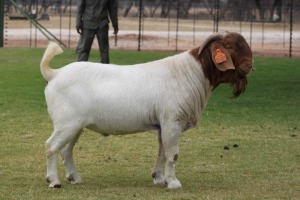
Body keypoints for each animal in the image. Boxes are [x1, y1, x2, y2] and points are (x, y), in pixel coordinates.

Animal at [41, 31, 253, 189]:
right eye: (230, 46)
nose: (250, 65)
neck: (192, 72)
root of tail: (54, 74)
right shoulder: (172, 121)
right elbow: (172, 154)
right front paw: (173, 182)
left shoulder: (163, 125)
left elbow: (162, 151)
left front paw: (159, 178)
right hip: (67, 123)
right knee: (51, 147)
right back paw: (54, 181)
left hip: (75, 125)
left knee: (66, 150)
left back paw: (75, 178)